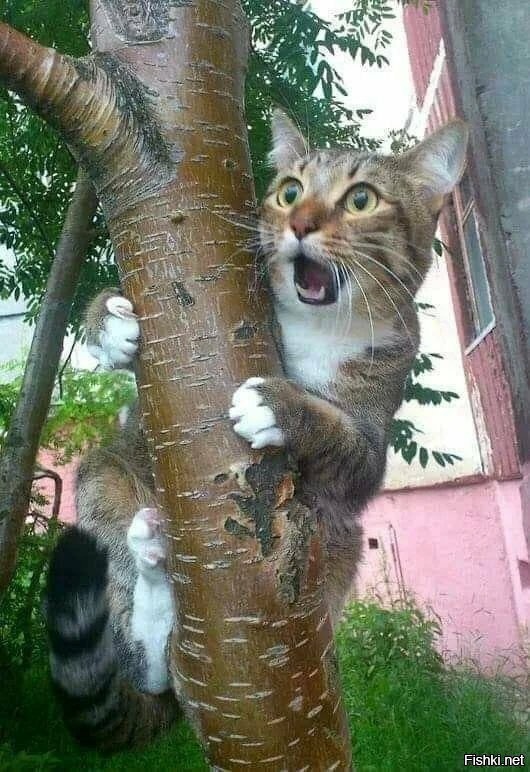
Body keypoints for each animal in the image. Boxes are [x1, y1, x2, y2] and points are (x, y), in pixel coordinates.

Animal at [45, 110, 468, 750]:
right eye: (290, 191)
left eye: (361, 199)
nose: (299, 222)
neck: (318, 328)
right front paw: (109, 322)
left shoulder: (373, 440)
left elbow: (345, 441)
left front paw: (279, 404)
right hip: (103, 479)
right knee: (141, 656)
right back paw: (152, 589)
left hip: (341, 540)